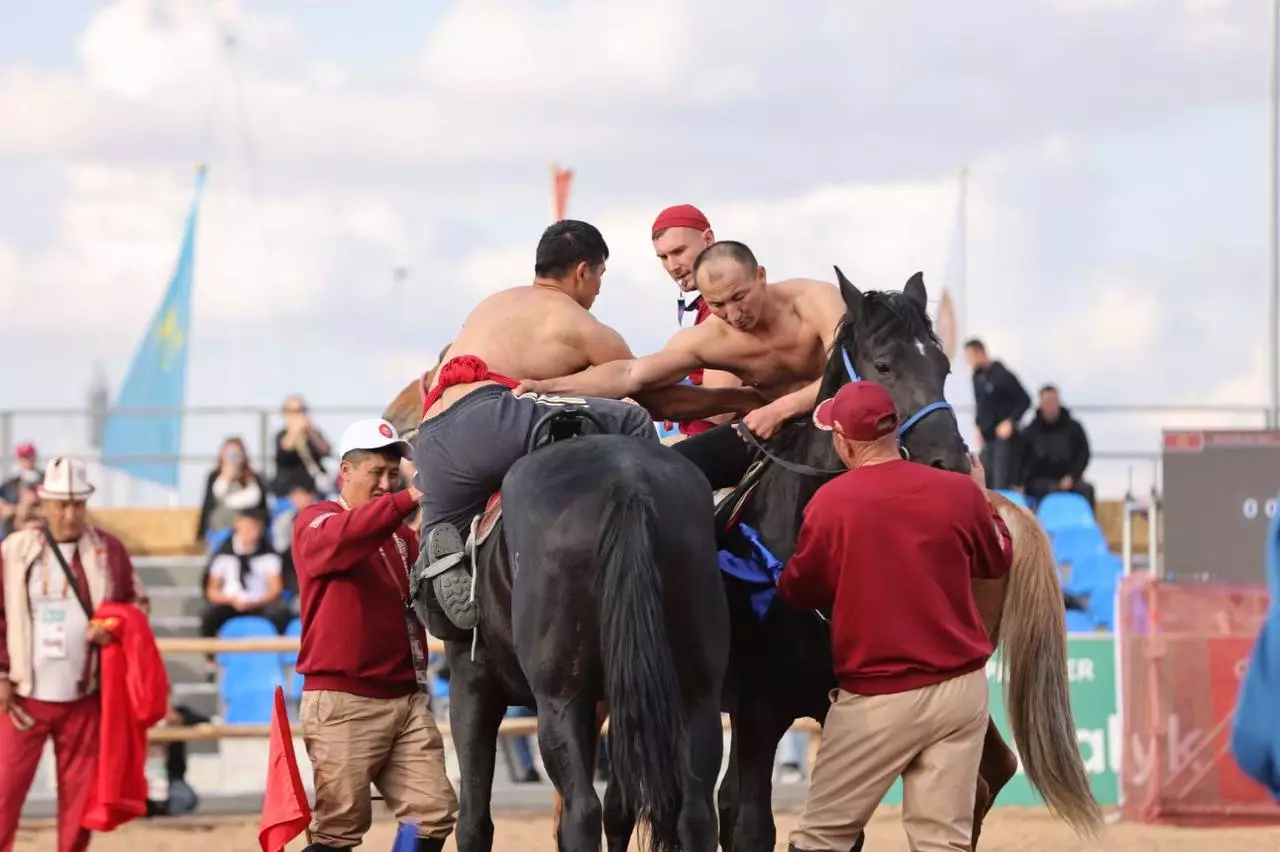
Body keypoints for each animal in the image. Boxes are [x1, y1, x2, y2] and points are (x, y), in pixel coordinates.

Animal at [422, 432, 732, 849]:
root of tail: (627, 484)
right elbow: (620, 806)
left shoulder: (471, 684)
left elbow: (473, 820)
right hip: (695, 694)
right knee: (696, 814)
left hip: (559, 699)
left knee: (581, 811)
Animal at [711, 267, 967, 849]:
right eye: (884, 365)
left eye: (943, 367)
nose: (952, 461)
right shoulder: (758, 709)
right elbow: (752, 825)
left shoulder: (848, 709)